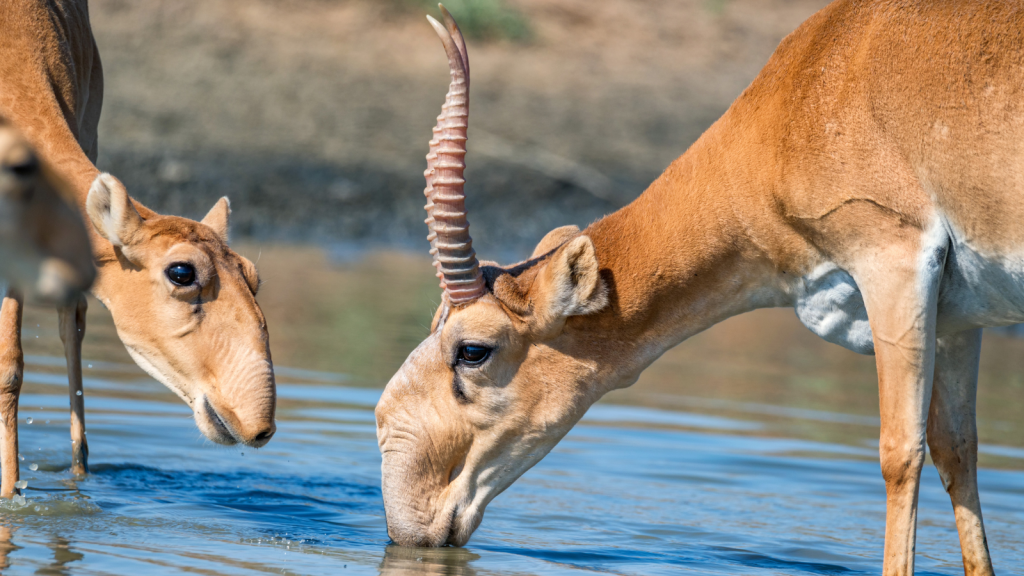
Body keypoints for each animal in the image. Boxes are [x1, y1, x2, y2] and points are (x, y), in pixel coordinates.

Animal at [378, 2, 1024, 569]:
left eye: (472, 350)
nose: (405, 520)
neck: (813, 81)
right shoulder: (958, 320)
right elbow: (956, 451)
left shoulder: (894, 262)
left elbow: (899, 453)